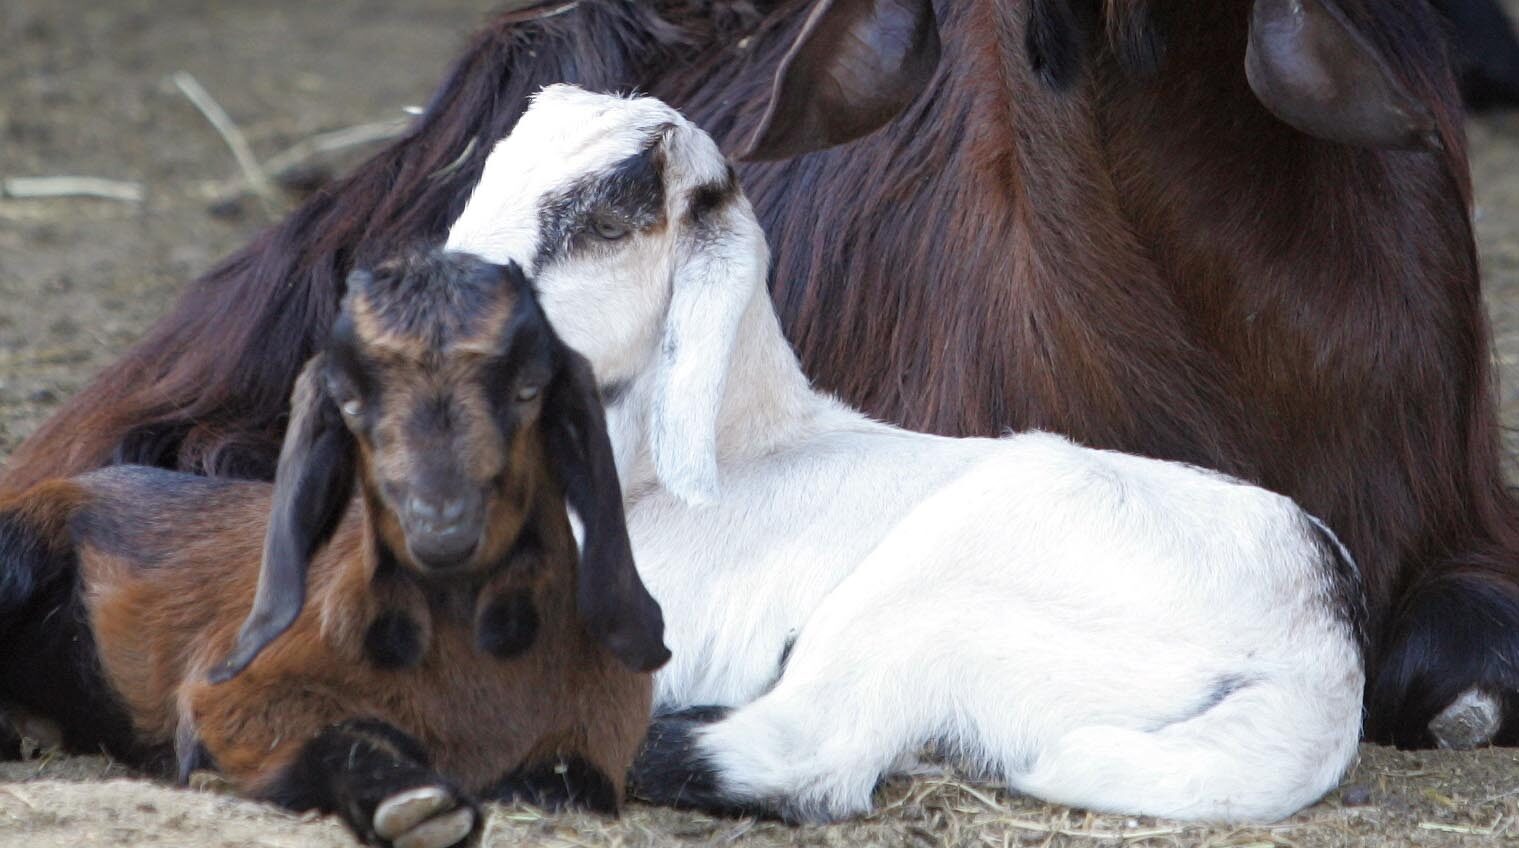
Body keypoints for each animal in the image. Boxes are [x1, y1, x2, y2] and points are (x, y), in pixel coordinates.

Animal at [0, 251, 668, 848]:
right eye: (349, 402)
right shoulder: (232, 696)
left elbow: (562, 782)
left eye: (529, 390)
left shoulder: (591, 748)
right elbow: (330, 737)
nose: (442, 525)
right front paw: (412, 809)